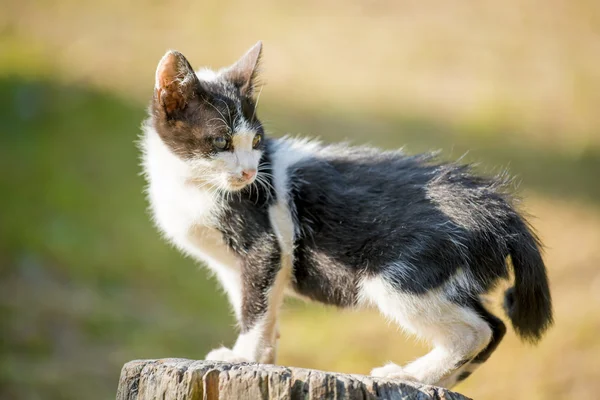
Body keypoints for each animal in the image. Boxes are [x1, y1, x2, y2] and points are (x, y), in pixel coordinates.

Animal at [141, 43, 552, 388]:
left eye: (256, 141)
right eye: (221, 142)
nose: (249, 172)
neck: (193, 186)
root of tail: (495, 206)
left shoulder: (265, 246)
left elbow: (255, 307)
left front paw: (243, 357)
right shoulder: (235, 265)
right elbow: (262, 305)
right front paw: (264, 357)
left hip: (402, 275)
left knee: (476, 330)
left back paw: (410, 375)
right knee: (494, 325)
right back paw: (442, 381)